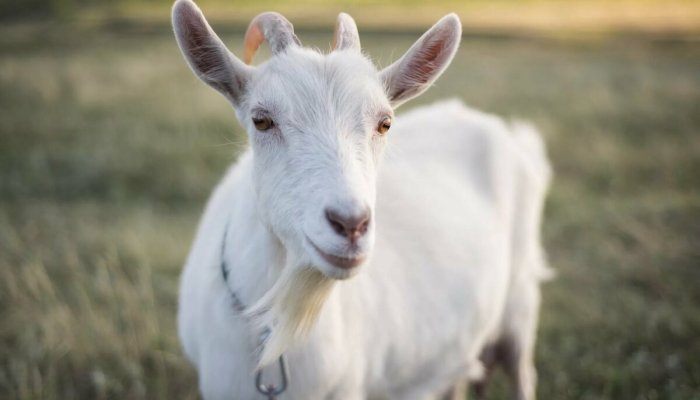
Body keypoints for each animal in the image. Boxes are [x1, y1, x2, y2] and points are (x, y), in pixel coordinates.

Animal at [172, 1, 552, 398]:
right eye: (261, 120)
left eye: (385, 123)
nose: (351, 224)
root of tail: (508, 132)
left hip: (521, 301)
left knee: (522, 369)